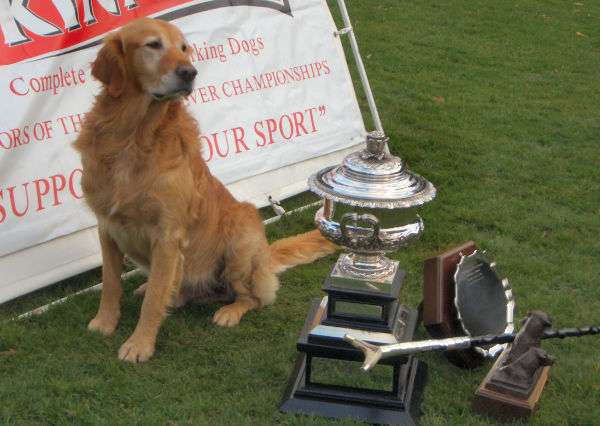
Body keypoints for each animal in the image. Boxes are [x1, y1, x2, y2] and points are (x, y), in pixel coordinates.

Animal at [74, 17, 338, 362]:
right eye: (153, 45)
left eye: (184, 48)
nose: (190, 72)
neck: (134, 134)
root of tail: (266, 253)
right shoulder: (107, 226)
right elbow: (110, 284)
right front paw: (105, 322)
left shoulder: (167, 234)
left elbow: (154, 299)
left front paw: (140, 344)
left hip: (241, 235)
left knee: (251, 297)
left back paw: (229, 312)